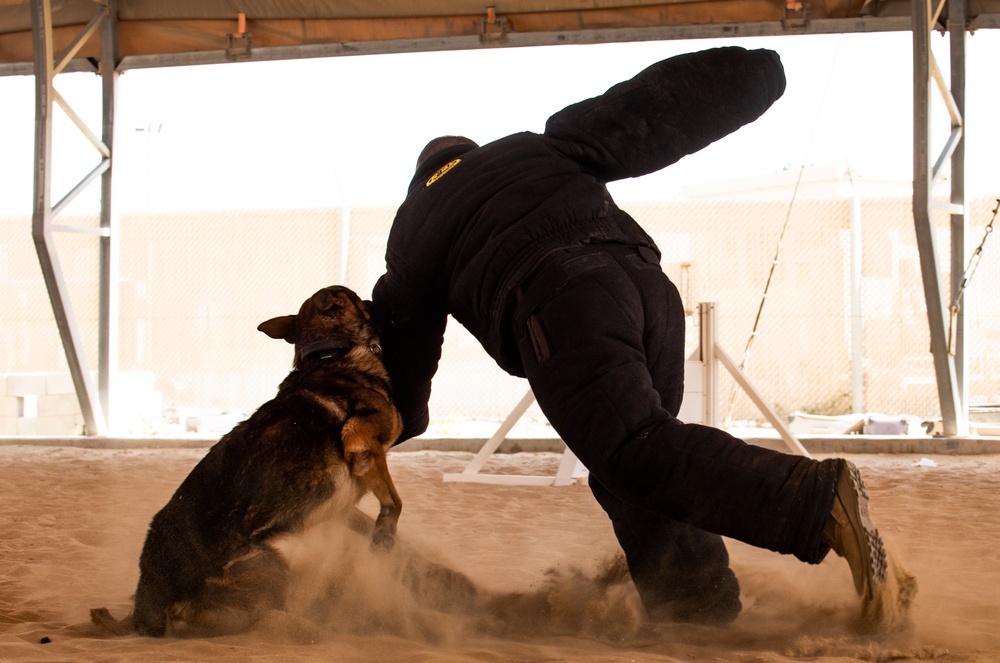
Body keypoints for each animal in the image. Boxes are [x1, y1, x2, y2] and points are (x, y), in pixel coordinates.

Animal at [94, 286, 402, 640]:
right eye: (357, 298)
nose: (377, 299)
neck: (329, 352)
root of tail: (149, 606)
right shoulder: (362, 443)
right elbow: (394, 502)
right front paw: (384, 538)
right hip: (274, 567)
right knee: (257, 619)